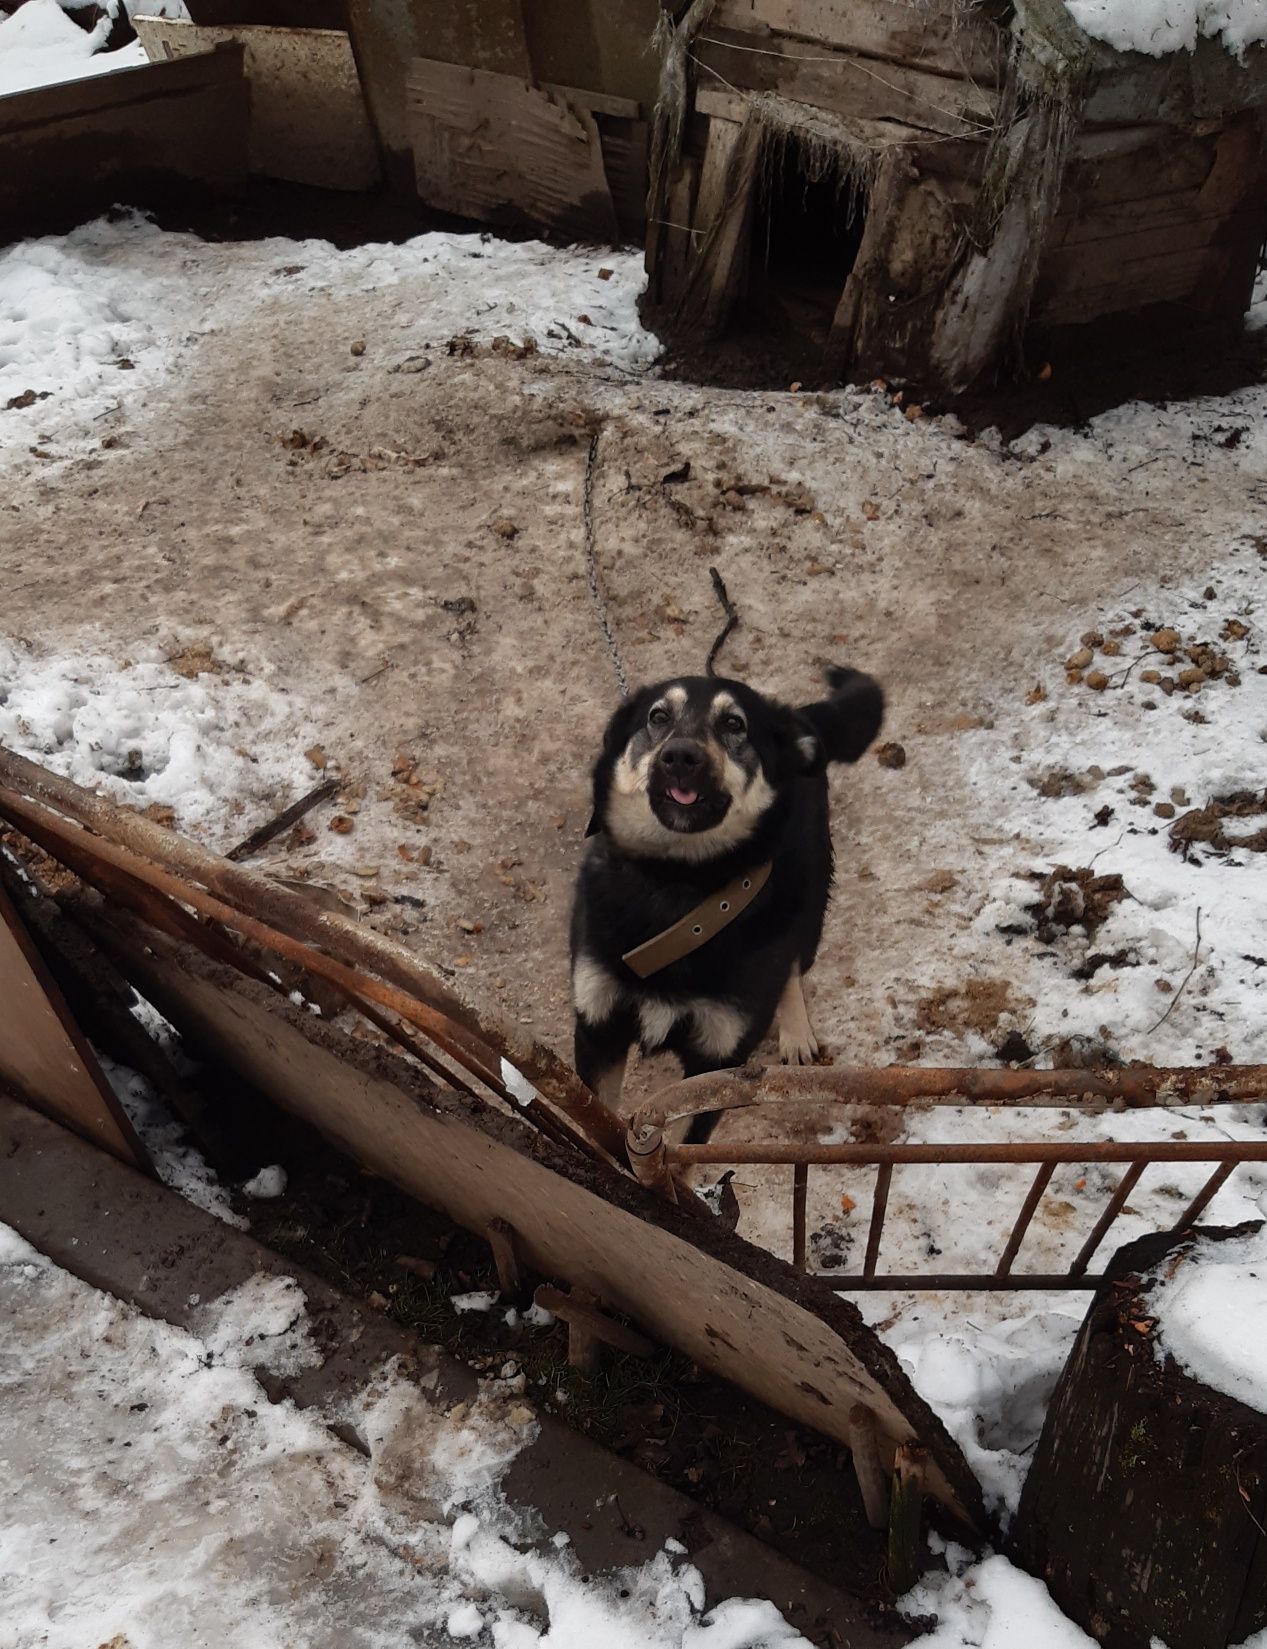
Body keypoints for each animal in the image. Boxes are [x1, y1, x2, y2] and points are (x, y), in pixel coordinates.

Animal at [570, 666, 884, 1134]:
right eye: (658, 716)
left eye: (734, 724)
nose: (680, 757)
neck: (679, 884)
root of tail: (799, 720)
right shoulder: (598, 1027)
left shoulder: (718, 1064)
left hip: (810, 903)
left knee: (794, 964)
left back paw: (796, 1030)